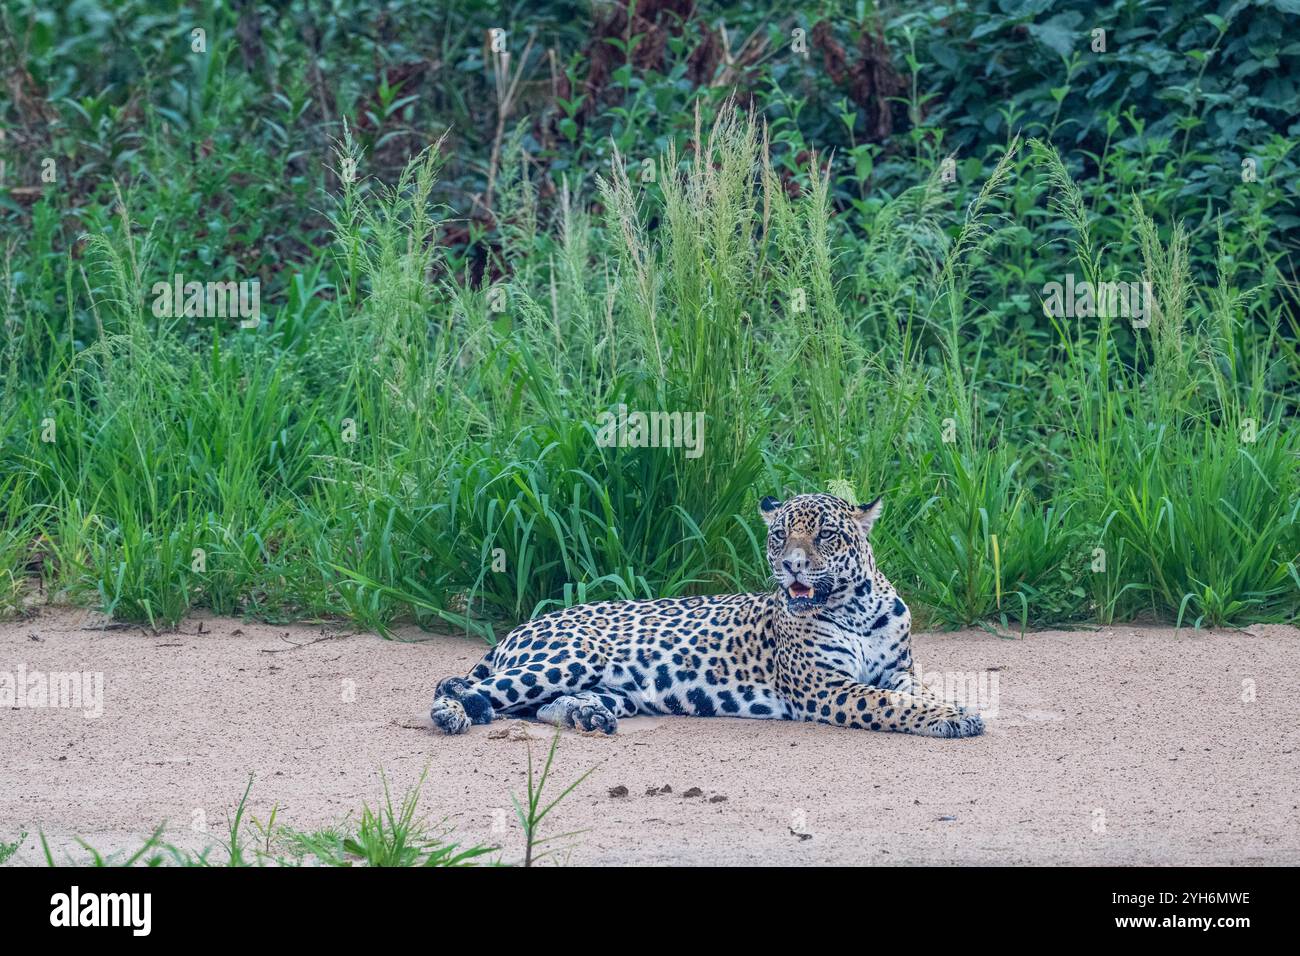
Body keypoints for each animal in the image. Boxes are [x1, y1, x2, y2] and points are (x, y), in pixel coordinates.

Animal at [429, 493, 985, 739]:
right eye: (779, 534)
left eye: (825, 534)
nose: (792, 564)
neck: (856, 607)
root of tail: (523, 625)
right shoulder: (825, 688)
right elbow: (890, 704)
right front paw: (952, 718)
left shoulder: (899, 671)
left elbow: (916, 692)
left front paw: (951, 707)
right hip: (571, 656)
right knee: (466, 688)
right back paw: (452, 713)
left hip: (611, 687)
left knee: (535, 707)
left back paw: (587, 716)